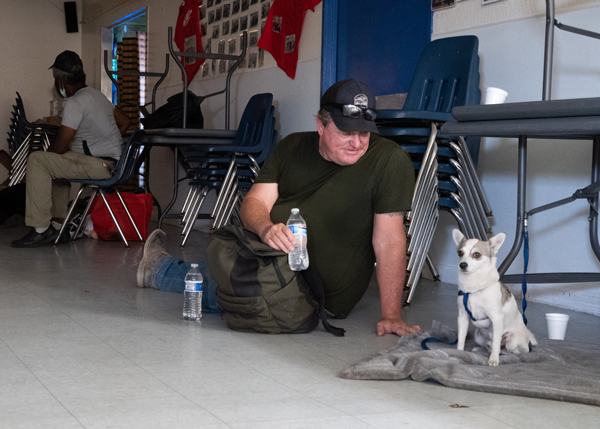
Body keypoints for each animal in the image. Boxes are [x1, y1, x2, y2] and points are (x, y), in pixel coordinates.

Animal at [452, 229, 536, 366]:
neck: (473, 288)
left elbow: (496, 343)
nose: (462, 264)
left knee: (510, 350)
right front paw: (459, 352)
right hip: (478, 335)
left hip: (512, 341)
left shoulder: (496, 318)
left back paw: (503, 354)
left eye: (476, 254)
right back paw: (481, 349)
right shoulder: (463, 318)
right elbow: (461, 338)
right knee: (489, 345)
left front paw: (493, 359)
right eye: (460, 253)